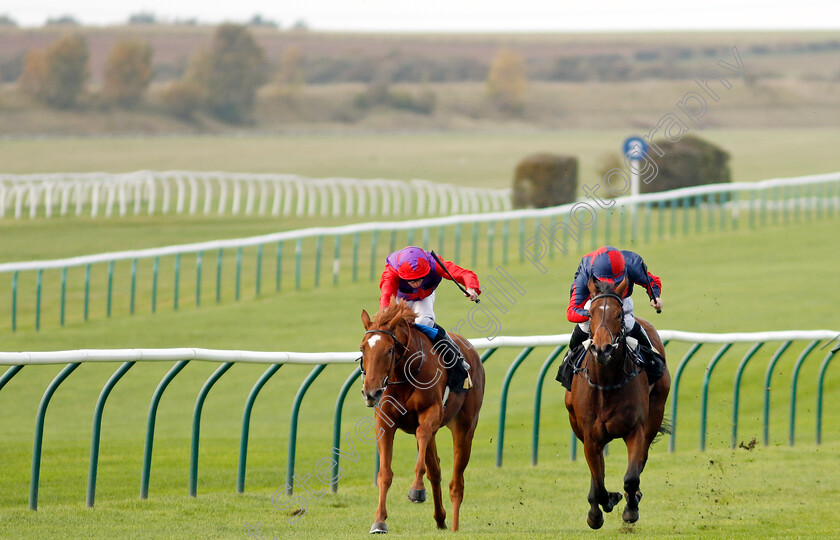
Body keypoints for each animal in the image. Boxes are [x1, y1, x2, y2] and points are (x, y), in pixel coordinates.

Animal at [360, 302, 486, 532]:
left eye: (389, 349)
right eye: (363, 348)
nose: (371, 392)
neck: (403, 374)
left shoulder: (431, 413)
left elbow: (422, 441)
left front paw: (416, 490)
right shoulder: (384, 422)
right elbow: (385, 473)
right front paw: (379, 521)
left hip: (465, 426)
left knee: (457, 482)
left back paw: (454, 525)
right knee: (435, 470)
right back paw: (440, 518)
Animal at [568, 278, 672, 528]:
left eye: (617, 315)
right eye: (590, 314)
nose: (602, 349)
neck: (607, 383)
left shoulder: (636, 429)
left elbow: (631, 477)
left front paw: (630, 508)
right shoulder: (590, 437)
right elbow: (599, 481)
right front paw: (599, 508)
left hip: (655, 413)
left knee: (641, 460)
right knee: (597, 472)